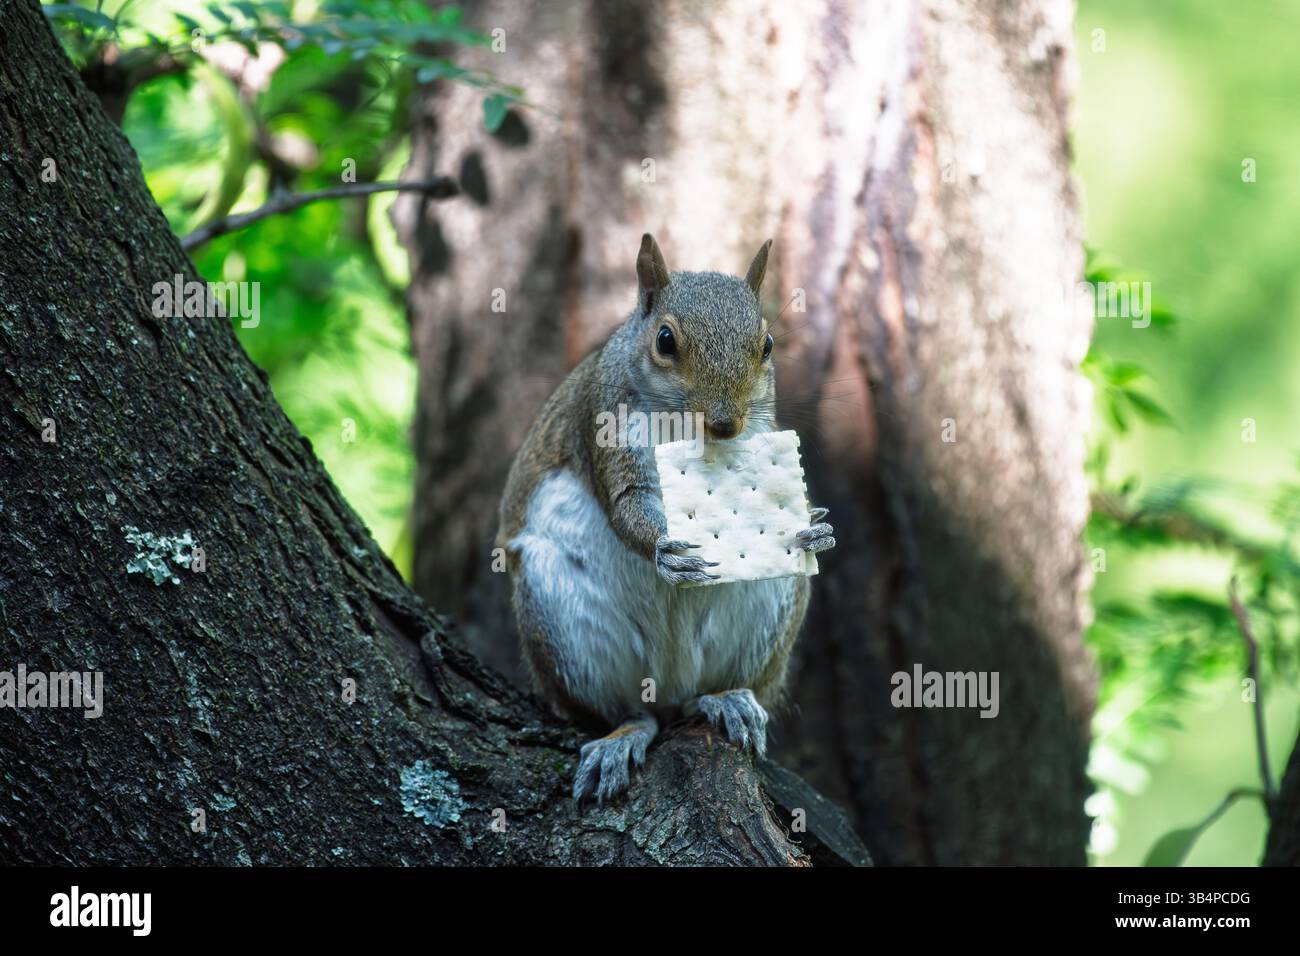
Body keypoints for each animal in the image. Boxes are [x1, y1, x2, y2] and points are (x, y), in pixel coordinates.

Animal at [497, 234, 835, 801]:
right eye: (665, 340)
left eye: (767, 345)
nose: (725, 425)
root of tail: (672, 685)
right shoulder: (605, 422)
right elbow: (627, 505)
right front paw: (664, 551)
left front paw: (812, 526)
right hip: (561, 621)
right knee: (631, 712)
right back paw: (621, 736)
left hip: (768, 622)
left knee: (708, 694)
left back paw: (726, 700)